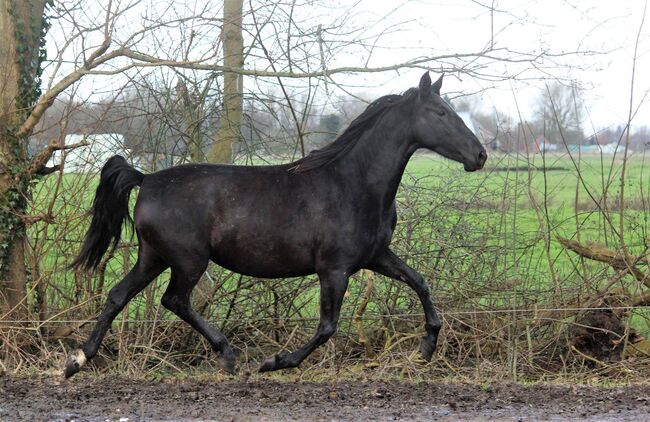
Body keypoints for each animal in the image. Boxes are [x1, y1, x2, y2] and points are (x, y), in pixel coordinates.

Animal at [64, 71, 486, 378]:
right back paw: (228, 354)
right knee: (174, 300)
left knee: (118, 295)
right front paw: (276, 362)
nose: (480, 155)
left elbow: (420, 282)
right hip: (187, 260)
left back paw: (78, 361)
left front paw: (426, 348)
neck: (353, 184)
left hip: (154, 256)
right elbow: (327, 327)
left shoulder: (375, 256)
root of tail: (146, 178)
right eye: (441, 113)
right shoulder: (334, 269)